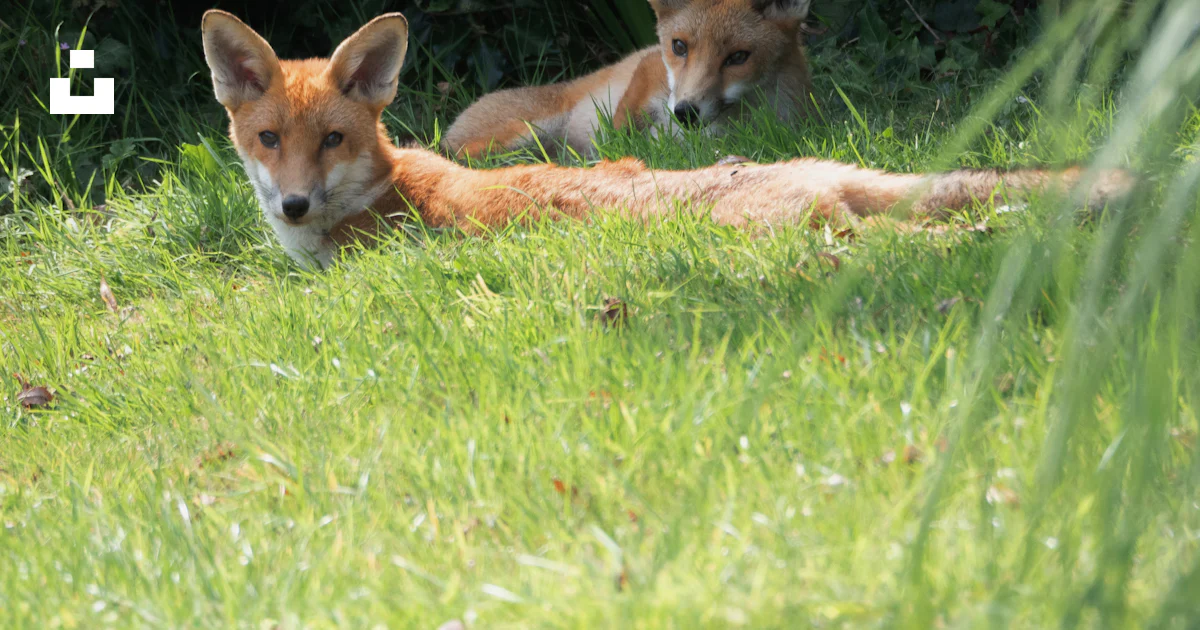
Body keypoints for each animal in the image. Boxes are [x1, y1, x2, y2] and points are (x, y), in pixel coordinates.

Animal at [441, 0, 815, 158]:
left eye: (738, 57)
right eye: (679, 47)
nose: (685, 112)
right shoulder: (648, 64)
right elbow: (618, 128)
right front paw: (622, 149)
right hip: (525, 132)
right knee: (458, 156)